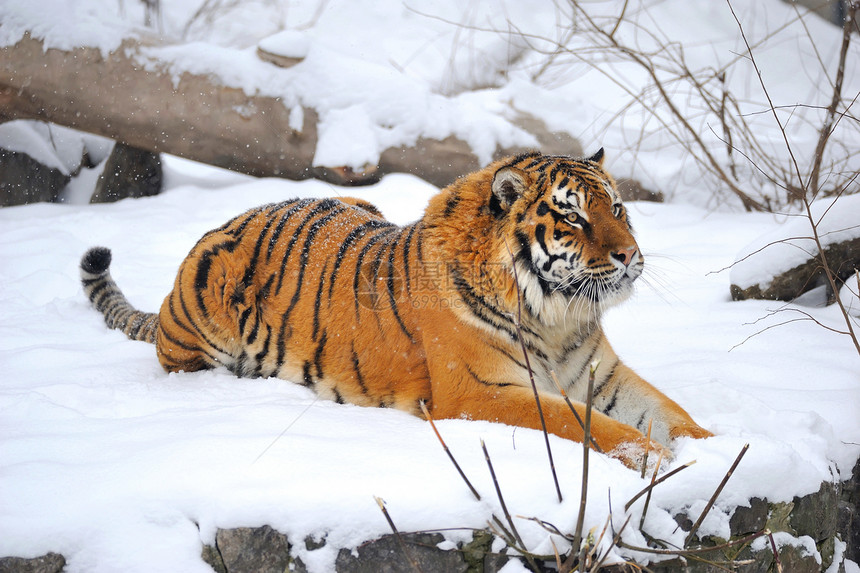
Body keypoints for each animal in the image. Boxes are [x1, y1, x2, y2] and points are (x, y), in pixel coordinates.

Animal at [80, 150, 712, 466]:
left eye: (618, 208)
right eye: (574, 216)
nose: (630, 255)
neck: (556, 316)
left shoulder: (601, 374)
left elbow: (671, 411)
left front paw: (717, 454)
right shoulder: (481, 392)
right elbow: (583, 424)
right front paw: (657, 460)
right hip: (203, 302)